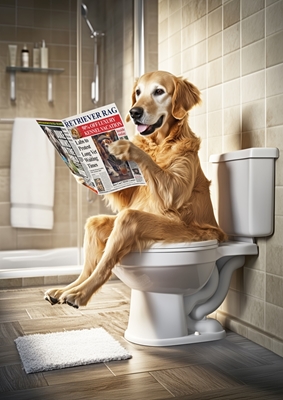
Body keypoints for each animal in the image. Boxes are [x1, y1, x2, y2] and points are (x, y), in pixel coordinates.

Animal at [45, 71, 229, 310]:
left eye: (159, 91)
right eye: (138, 92)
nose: (134, 112)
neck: (159, 143)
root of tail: (219, 236)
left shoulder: (174, 190)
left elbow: (172, 192)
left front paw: (128, 148)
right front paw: (83, 176)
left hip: (174, 232)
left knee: (120, 233)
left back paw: (79, 295)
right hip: (103, 226)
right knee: (92, 239)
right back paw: (65, 290)